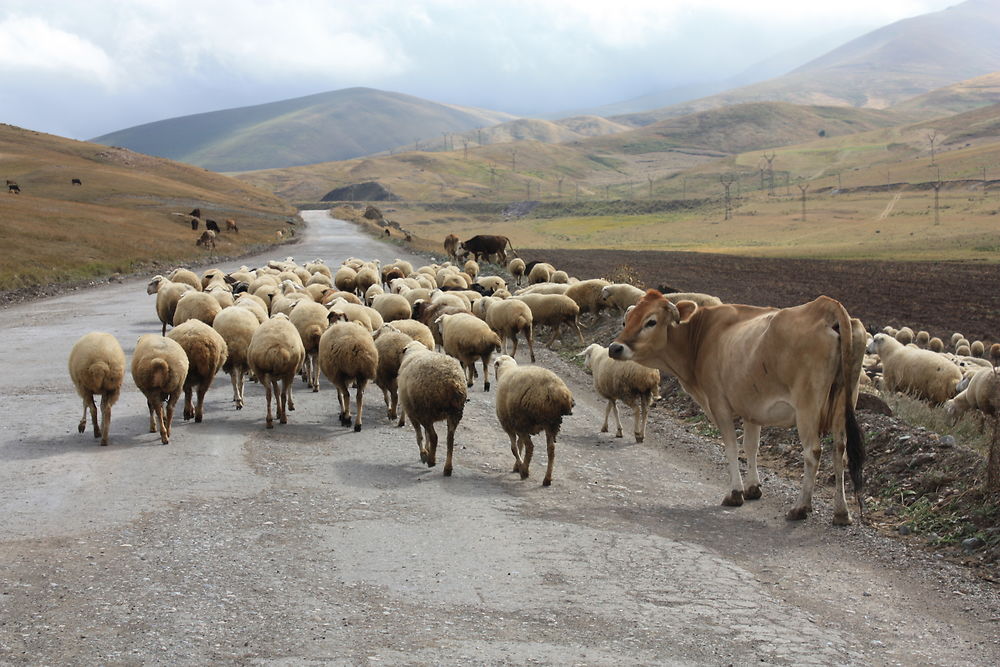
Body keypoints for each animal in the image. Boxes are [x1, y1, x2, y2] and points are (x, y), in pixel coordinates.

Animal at [398, 340, 468, 474]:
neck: (416, 351)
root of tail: (451, 381)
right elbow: (426, 436)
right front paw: (427, 450)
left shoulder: (412, 413)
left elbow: (420, 436)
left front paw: (424, 453)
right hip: (454, 413)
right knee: (449, 440)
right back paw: (447, 468)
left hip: (425, 411)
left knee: (434, 437)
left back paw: (431, 461)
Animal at [494, 354, 576, 486]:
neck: (506, 370)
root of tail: (558, 392)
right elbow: (519, 444)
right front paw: (516, 467)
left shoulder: (509, 425)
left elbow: (514, 448)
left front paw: (520, 467)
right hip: (551, 423)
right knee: (551, 450)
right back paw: (547, 479)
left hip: (524, 420)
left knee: (530, 447)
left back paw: (525, 471)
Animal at [608, 292, 868, 528]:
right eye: (626, 320)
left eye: (651, 321)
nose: (614, 348)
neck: (701, 338)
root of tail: (826, 305)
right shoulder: (752, 408)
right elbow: (751, 447)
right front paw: (753, 487)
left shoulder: (719, 405)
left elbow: (731, 447)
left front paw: (735, 493)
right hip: (844, 401)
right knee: (840, 451)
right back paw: (841, 513)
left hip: (807, 406)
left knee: (813, 452)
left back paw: (800, 507)